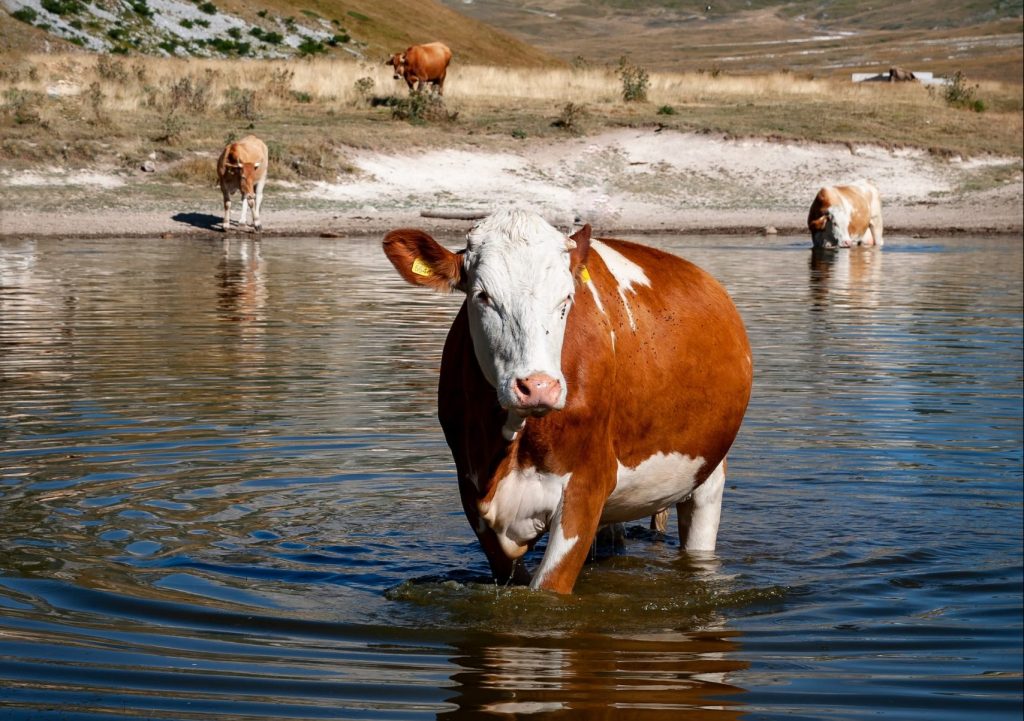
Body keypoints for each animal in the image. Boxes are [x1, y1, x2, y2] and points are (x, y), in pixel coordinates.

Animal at [385, 205, 753, 594]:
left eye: (566, 298)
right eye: (482, 296)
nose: (538, 386)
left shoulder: (585, 488)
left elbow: (549, 590)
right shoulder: (473, 494)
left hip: (709, 474)